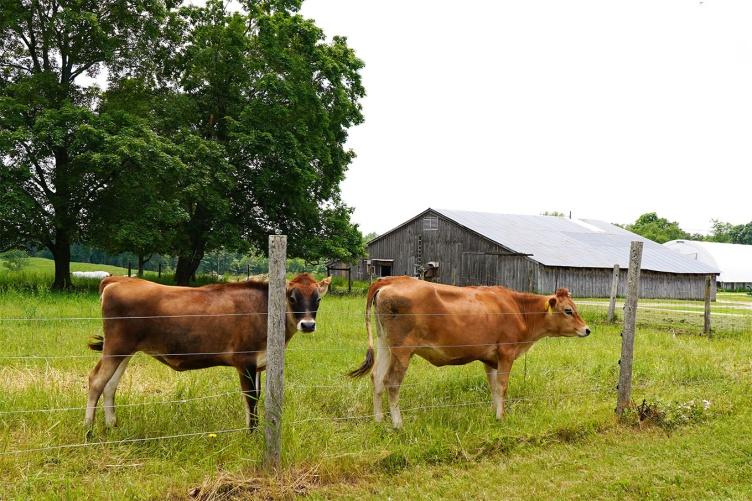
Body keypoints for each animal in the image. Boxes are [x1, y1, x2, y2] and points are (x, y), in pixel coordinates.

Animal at [83, 272, 330, 432]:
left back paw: (112, 426)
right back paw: (88, 430)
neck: (265, 311)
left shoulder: (260, 363)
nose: (308, 325)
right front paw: (251, 434)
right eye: (292, 297)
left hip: (125, 350)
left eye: (318, 299)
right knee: (96, 380)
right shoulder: (245, 360)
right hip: (115, 346)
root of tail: (117, 279)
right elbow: (250, 398)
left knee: (110, 385)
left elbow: (257, 396)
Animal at [346, 276, 588, 428]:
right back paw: (398, 424)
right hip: (403, 350)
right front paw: (502, 417)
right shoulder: (507, 352)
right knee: (392, 382)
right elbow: (503, 386)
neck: (519, 310)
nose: (587, 329)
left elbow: (494, 387)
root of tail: (390, 280)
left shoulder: (490, 358)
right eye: (568, 310)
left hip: (384, 344)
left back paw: (379, 420)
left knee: (377, 377)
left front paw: (494, 413)